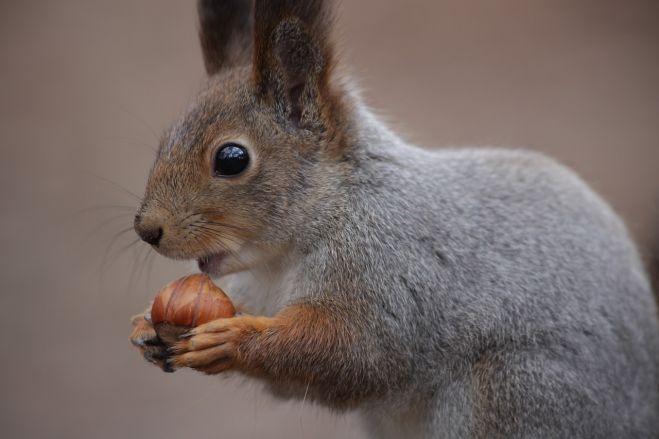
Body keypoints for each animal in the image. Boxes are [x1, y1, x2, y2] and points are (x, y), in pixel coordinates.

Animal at [129, 1, 659, 438]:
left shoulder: (388, 269)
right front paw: (147, 327)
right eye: (164, 141)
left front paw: (230, 339)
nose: (147, 230)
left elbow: (353, 354)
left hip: (522, 391)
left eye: (232, 159)